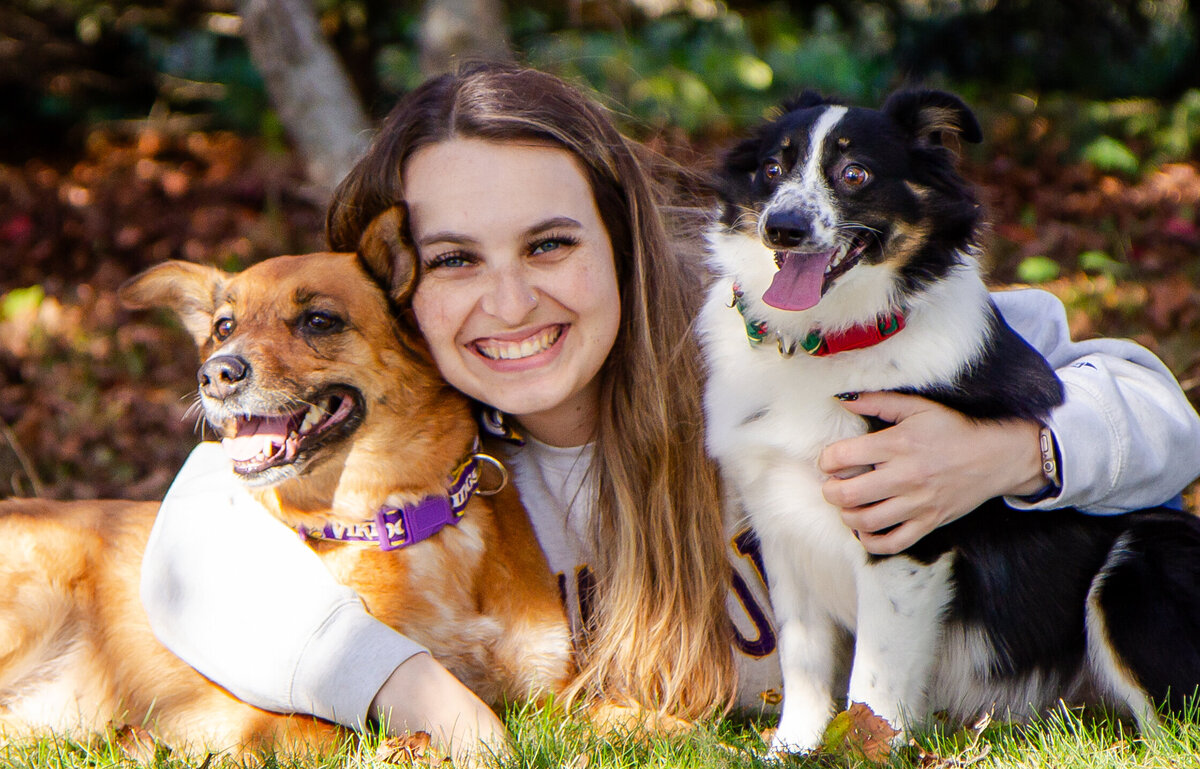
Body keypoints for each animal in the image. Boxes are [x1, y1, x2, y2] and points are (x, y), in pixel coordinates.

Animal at [0, 208, 573, 758]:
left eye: (318, 320)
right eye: (224, 326)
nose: (215, 374)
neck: (399, 519)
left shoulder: (555, 694)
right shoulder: (249, 716)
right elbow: (343, 733)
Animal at [700, 88, 1200, 748]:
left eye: (855, 174)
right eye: (772, 168)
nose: (782, 226)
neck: (828, 341)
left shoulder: (903, 540)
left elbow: (875, 682)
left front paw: (866, 751)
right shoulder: (783, 528)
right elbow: (804, 664)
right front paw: (794, 749)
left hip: (1135, 563)